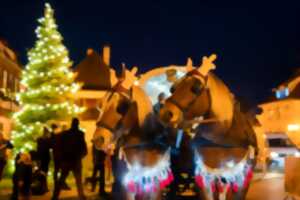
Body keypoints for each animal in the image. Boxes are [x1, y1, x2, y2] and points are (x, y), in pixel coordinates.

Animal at [159, 55, 258, 200]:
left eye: (196, 87)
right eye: (173, 88)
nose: (165, 113)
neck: (222, 140)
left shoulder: (242, 178)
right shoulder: (203, 177)